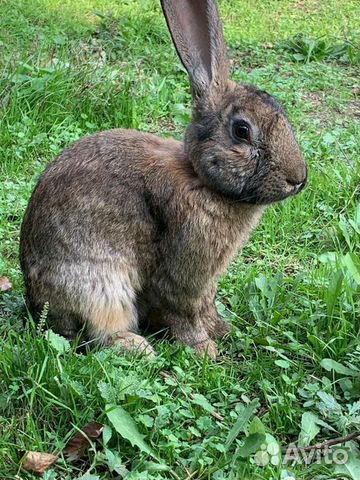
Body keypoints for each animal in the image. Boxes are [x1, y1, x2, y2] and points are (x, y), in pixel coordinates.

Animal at [19, 0, 306, 360]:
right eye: (242, 131)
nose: (299, 179)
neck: (202, 179)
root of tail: (34, 301)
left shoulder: (205, 285)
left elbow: (207, 307)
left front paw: (223, 330)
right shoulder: (178, 278)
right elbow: (182, 313)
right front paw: (204, 349)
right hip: (98, 287)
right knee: (91, 334)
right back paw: (137, 347)